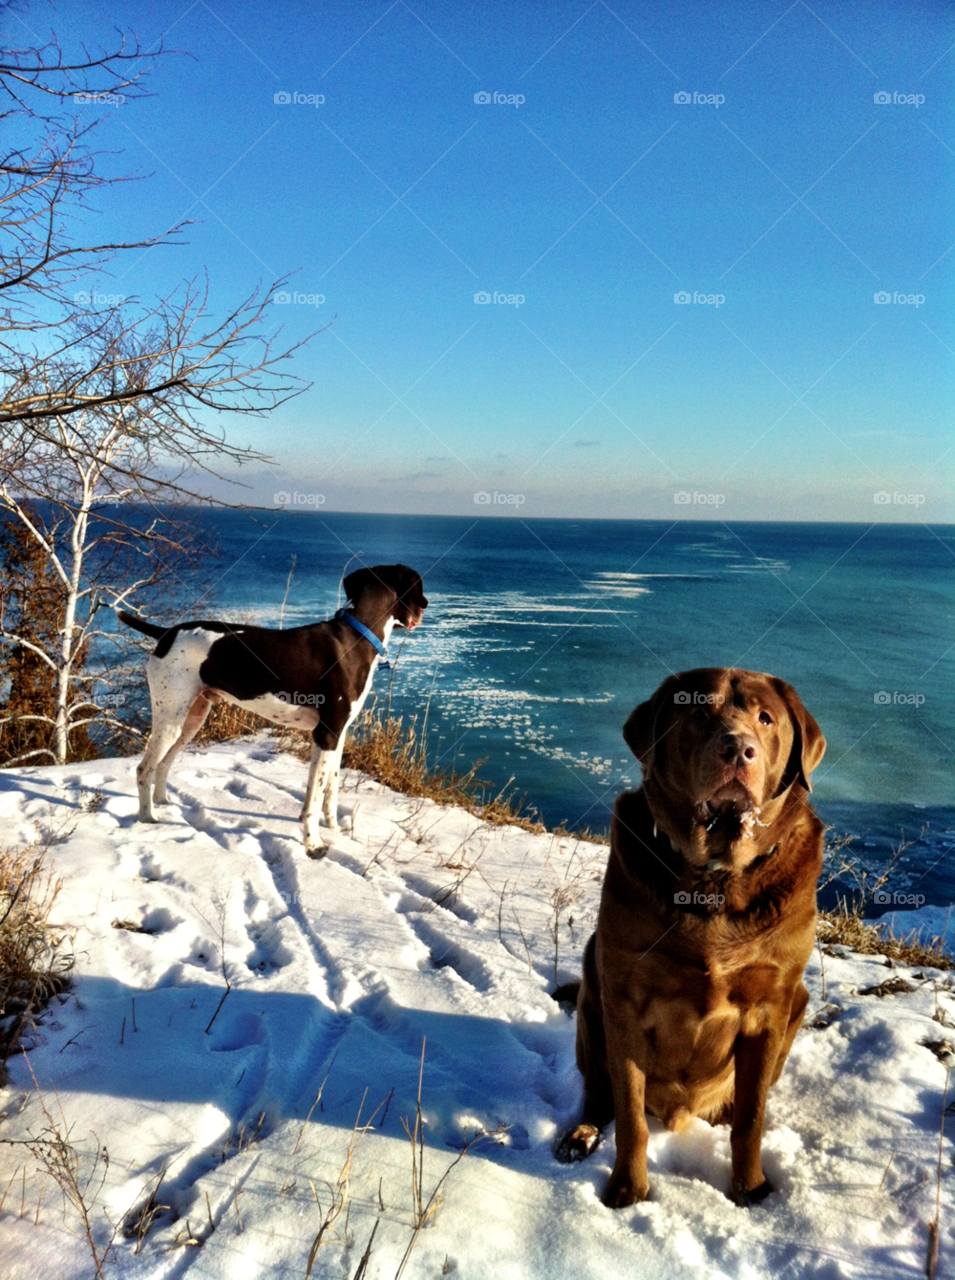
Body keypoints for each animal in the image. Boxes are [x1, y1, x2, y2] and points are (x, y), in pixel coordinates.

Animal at [119, 565, 427, 855]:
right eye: (419, 587)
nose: (426, 607)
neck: (356, 636)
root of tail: (167, 632)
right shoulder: (325, 734)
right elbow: (313, 799)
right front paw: (313, 845)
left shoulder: (338, 735)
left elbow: (331, 789)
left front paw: (335, 829)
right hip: (171, 719)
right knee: (144, 768)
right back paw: (147, 819)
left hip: (192, 718)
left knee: (163, 764)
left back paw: (163, 804)